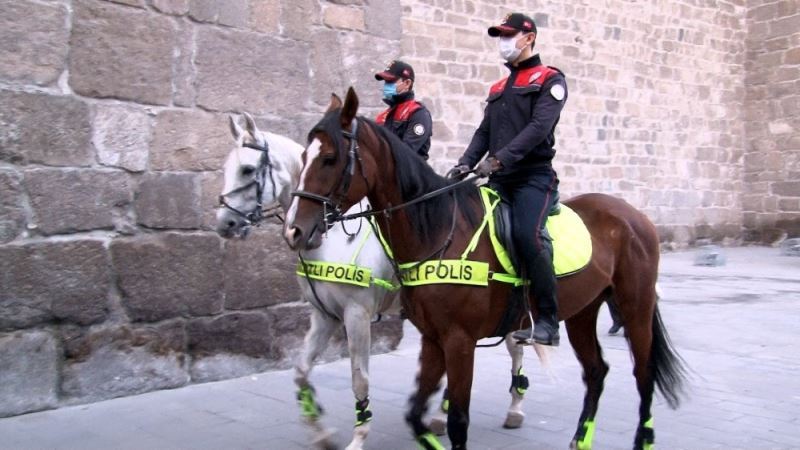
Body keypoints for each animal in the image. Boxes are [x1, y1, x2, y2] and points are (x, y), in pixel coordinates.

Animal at [216, 113, 536, 450]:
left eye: (247, 169)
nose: (225, 223)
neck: (330, 240)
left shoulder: (356, 315)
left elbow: (360, 379)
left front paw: (358, 437)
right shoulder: (324, 316)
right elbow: (302, 371)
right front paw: (322, 434)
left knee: (516, 349)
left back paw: (515, 409)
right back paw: (440, 417)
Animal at [284, 89, 684, 450]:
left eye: (330, 158)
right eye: (303, 156)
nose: (295, 230)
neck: (437, 230)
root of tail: (633, 215)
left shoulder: (445, 337)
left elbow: (451, 416)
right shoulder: (427, 337)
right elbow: (412, 414)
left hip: (635, 308)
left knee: (643, 373)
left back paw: (640, 438)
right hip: (581, 313)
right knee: (595, 371)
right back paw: (578, 438)